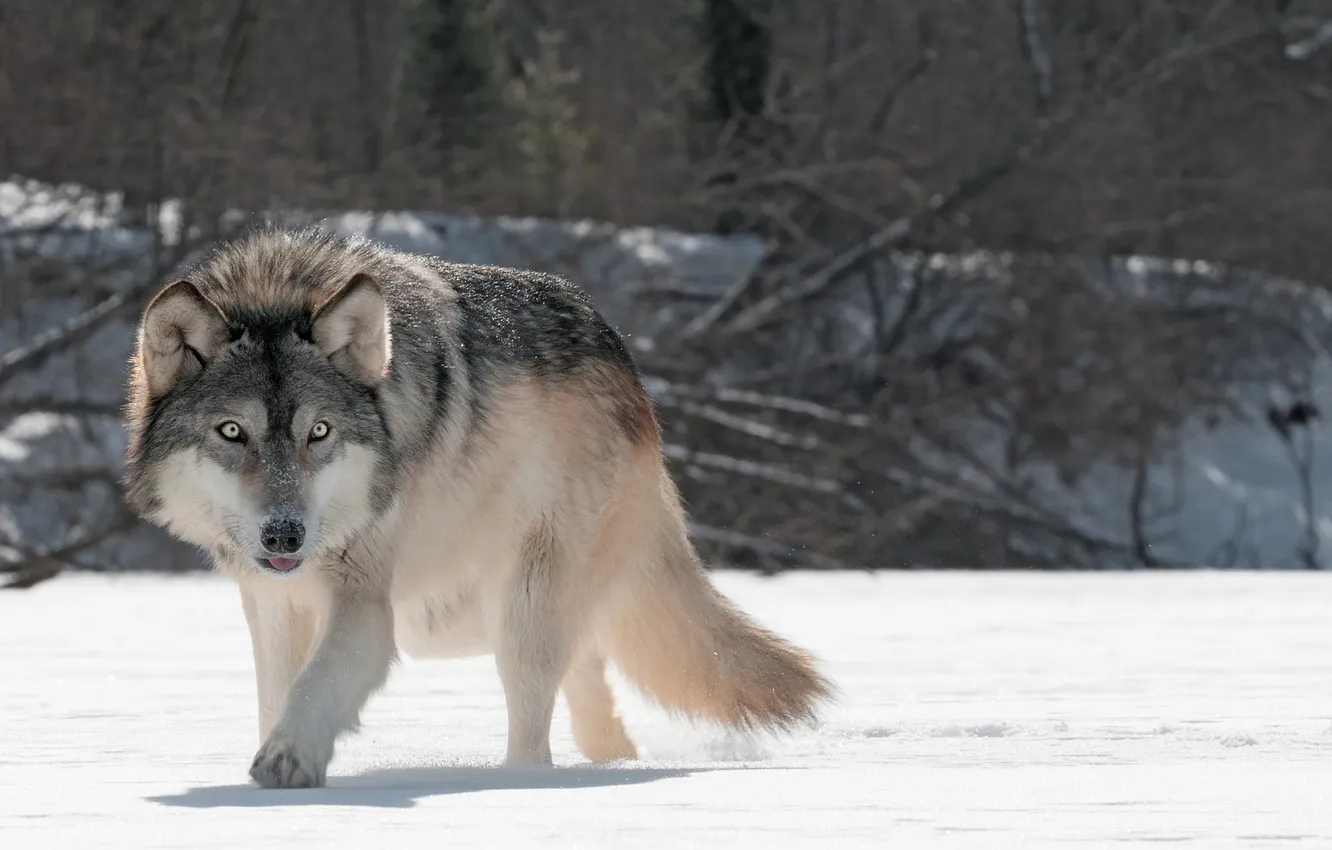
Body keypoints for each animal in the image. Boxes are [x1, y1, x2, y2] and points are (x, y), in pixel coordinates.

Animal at [122, 226, 833, 788]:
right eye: (232, 432)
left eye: (319, 432)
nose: (285, 537)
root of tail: (632, 375)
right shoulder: (272, 602)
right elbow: (279, 691)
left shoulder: (364, 602)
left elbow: (317, 684)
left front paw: (288, 760)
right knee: (592, 692)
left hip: (516, 610)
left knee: (536, 733)